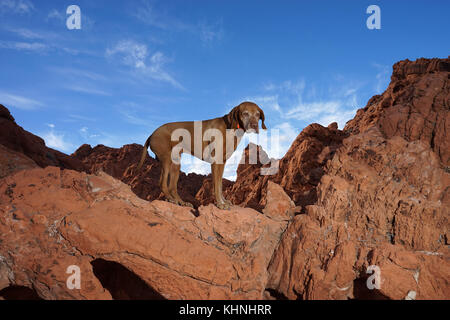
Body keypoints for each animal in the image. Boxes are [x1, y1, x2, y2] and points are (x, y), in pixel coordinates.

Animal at [135, 100, 266, 210]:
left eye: (257, 114)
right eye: (245, 114)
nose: (254, 126)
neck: (232, 128)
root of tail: (152, 133)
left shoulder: (222, 163)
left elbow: (220, 185)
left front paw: (223, 201)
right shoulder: (216, 162)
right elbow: (216, 185)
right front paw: (220, 204)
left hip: (176, 163)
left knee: (172, 186)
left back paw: (181, 202)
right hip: (167, 159)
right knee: (162, 183)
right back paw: (172, 200)